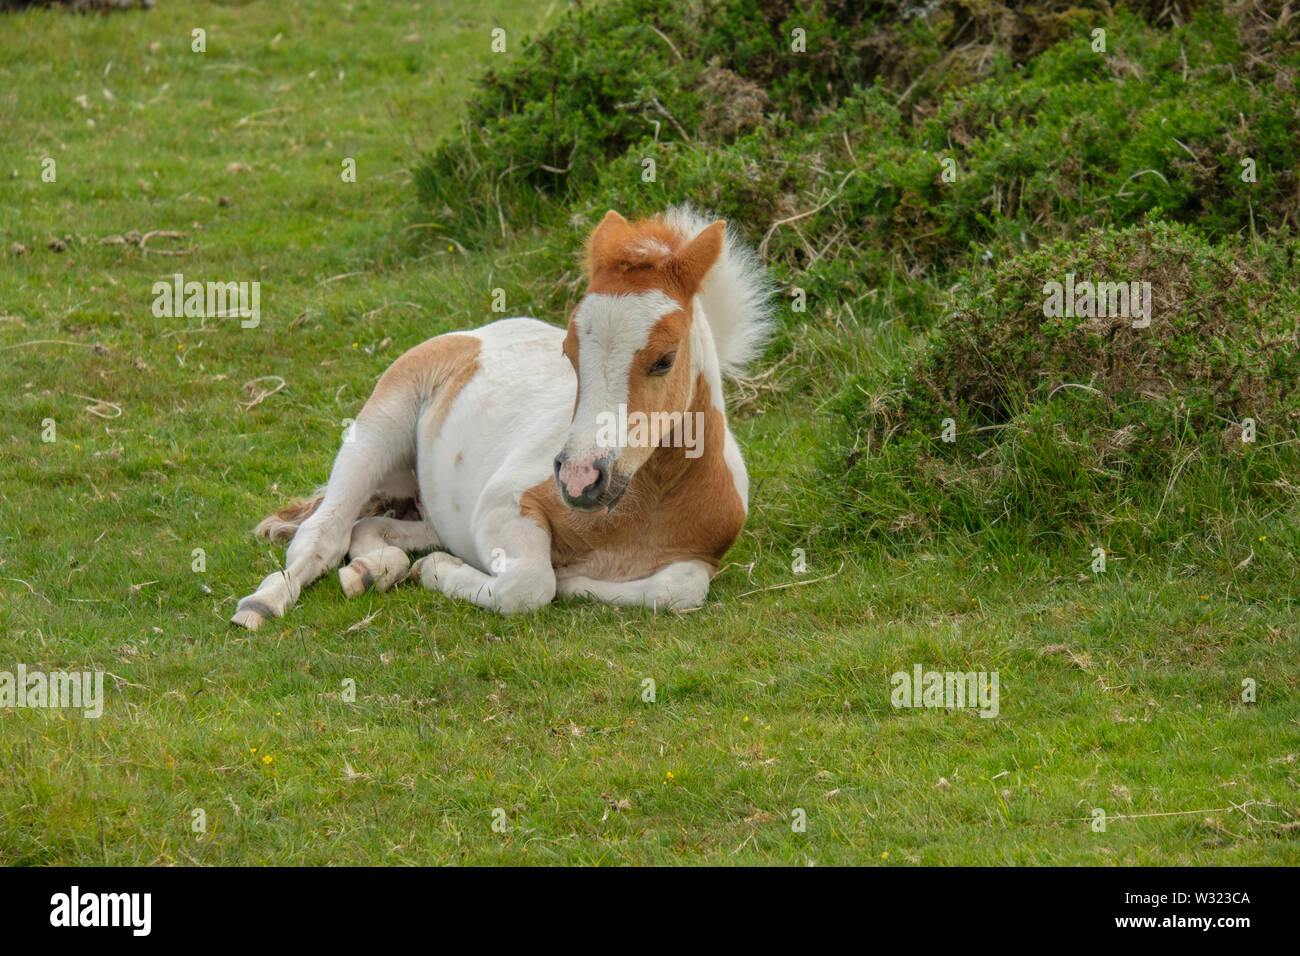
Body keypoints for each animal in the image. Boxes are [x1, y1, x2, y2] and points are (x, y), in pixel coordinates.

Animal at [230, 205, 772, 628]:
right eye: (569, 352)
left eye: (664, 359)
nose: (579, 481)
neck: (639, 511)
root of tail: (475, 334)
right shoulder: (503, 503)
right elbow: (530, 585)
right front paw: (438, 572)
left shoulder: (701, 558)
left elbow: (680, 588)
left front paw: (577, 581)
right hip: (379, 427)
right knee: (325, 533)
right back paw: (263, 603)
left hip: (433, 509)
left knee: (371, 529)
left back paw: (372, 571)